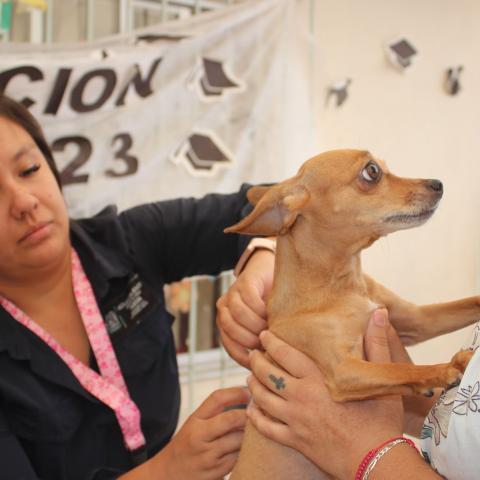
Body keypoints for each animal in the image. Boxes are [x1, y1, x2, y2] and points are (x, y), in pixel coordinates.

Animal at [226, 150, 480, 480]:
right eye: (372, 172)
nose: (437, 183)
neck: (344, 287)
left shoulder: (418, 320)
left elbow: (468, 303)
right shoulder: (344, 371)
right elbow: (397, 370)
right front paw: (447, 367)